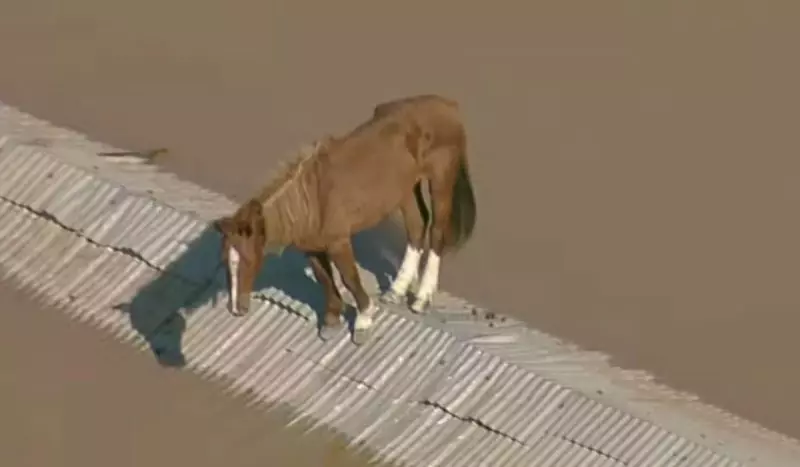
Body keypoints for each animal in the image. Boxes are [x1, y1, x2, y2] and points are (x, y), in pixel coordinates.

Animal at [213, 94, 477, 345]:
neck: (311, 200)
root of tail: (448, 105)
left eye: (248, 260)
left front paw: (363, 322)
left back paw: (421, 299)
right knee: (417, 226)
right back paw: (396, 290)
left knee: (437, 232)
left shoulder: (339, 243)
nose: (235, 309)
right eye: (225, 261)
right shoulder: (312, 248)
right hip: (405, 189)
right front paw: (331, 322)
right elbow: (324, 279)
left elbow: (349, 278)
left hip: (440, 180)